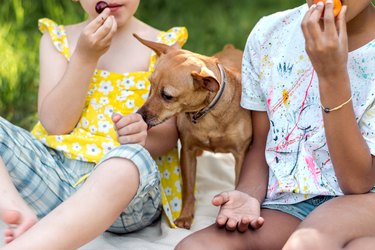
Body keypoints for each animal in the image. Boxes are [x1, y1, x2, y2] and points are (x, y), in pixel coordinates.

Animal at [135, 34, 253, 229]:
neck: (207, 114)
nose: (140, 116)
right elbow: (188, 189)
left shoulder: (241, 155)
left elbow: (238, 184)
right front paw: (185, 216)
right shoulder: (187, 151)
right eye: (150, 85)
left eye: (167, 96)